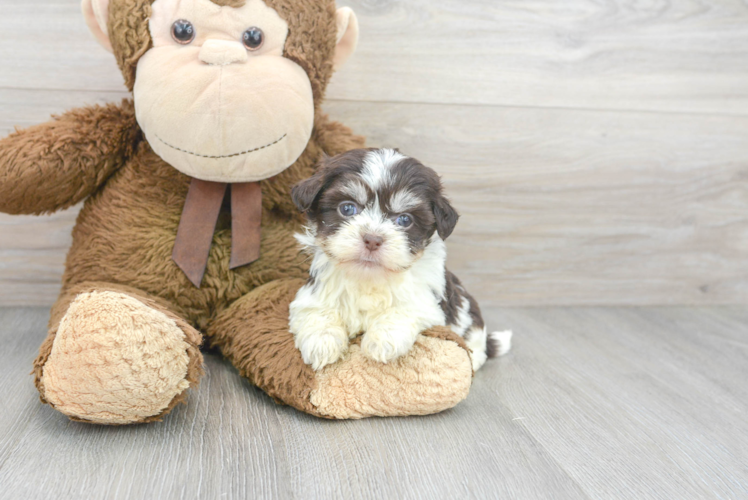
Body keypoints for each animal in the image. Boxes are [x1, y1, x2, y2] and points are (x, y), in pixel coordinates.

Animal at [290, 148, 512, 372]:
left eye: (405, 220)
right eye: (347, 209)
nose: (372, 240)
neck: (369, 277)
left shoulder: (428, 303)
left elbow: (404, 308)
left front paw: (382, 341)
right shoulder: (314, 291)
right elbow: (317, 311)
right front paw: (321, 343)